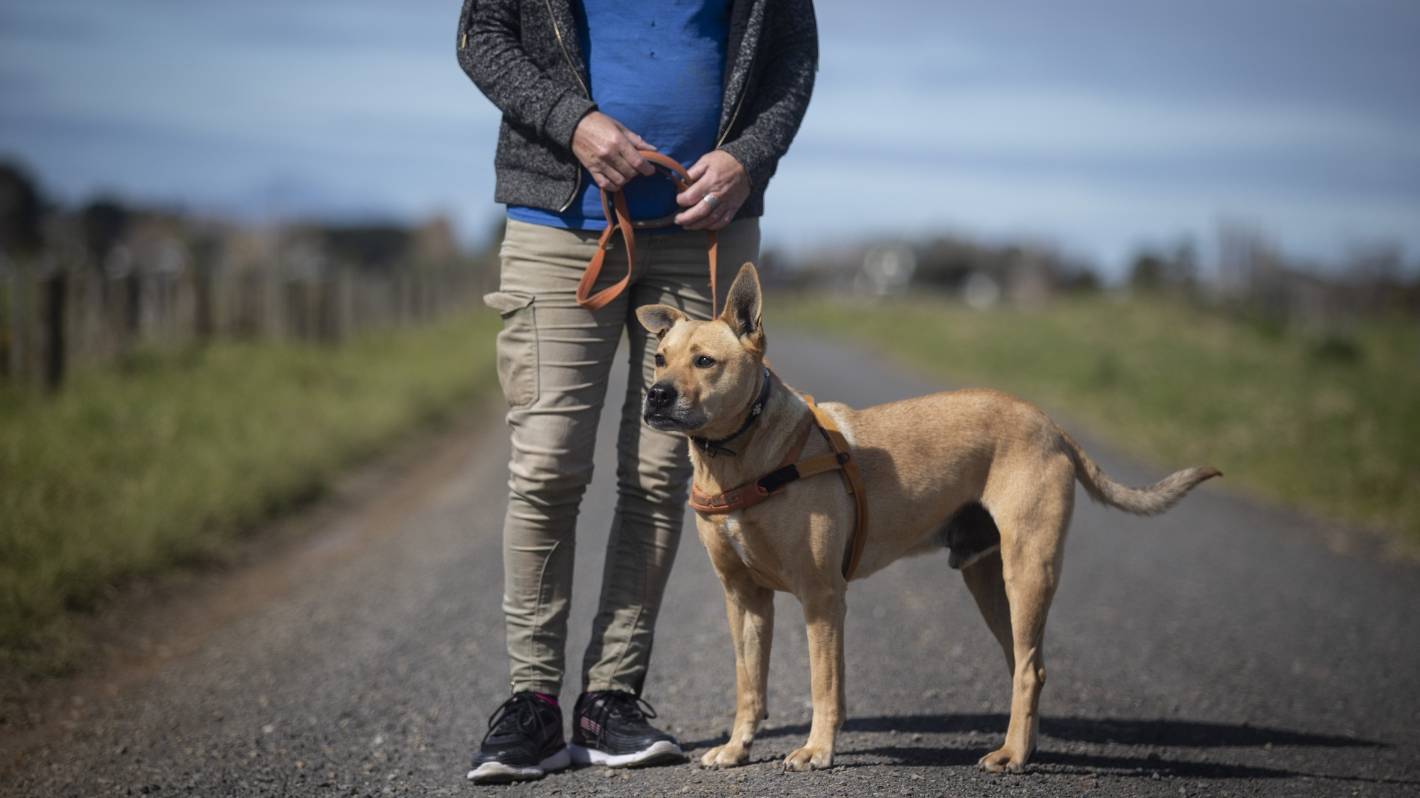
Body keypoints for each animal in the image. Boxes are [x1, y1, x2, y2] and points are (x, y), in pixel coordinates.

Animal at [636, 262, 1221, 772]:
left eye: (705, 361)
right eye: (660, 358)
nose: (655, 396)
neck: (741, 454)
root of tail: (1049, 423)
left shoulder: (821, 596)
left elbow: (824, 684)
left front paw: (817, 750)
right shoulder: (744, 597)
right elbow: (749, 684)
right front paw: (737, 749)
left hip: (1027, 571)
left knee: (1029, 668)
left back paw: (1012, 755)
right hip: (987, 580)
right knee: (1025, 664)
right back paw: (1022, 746)